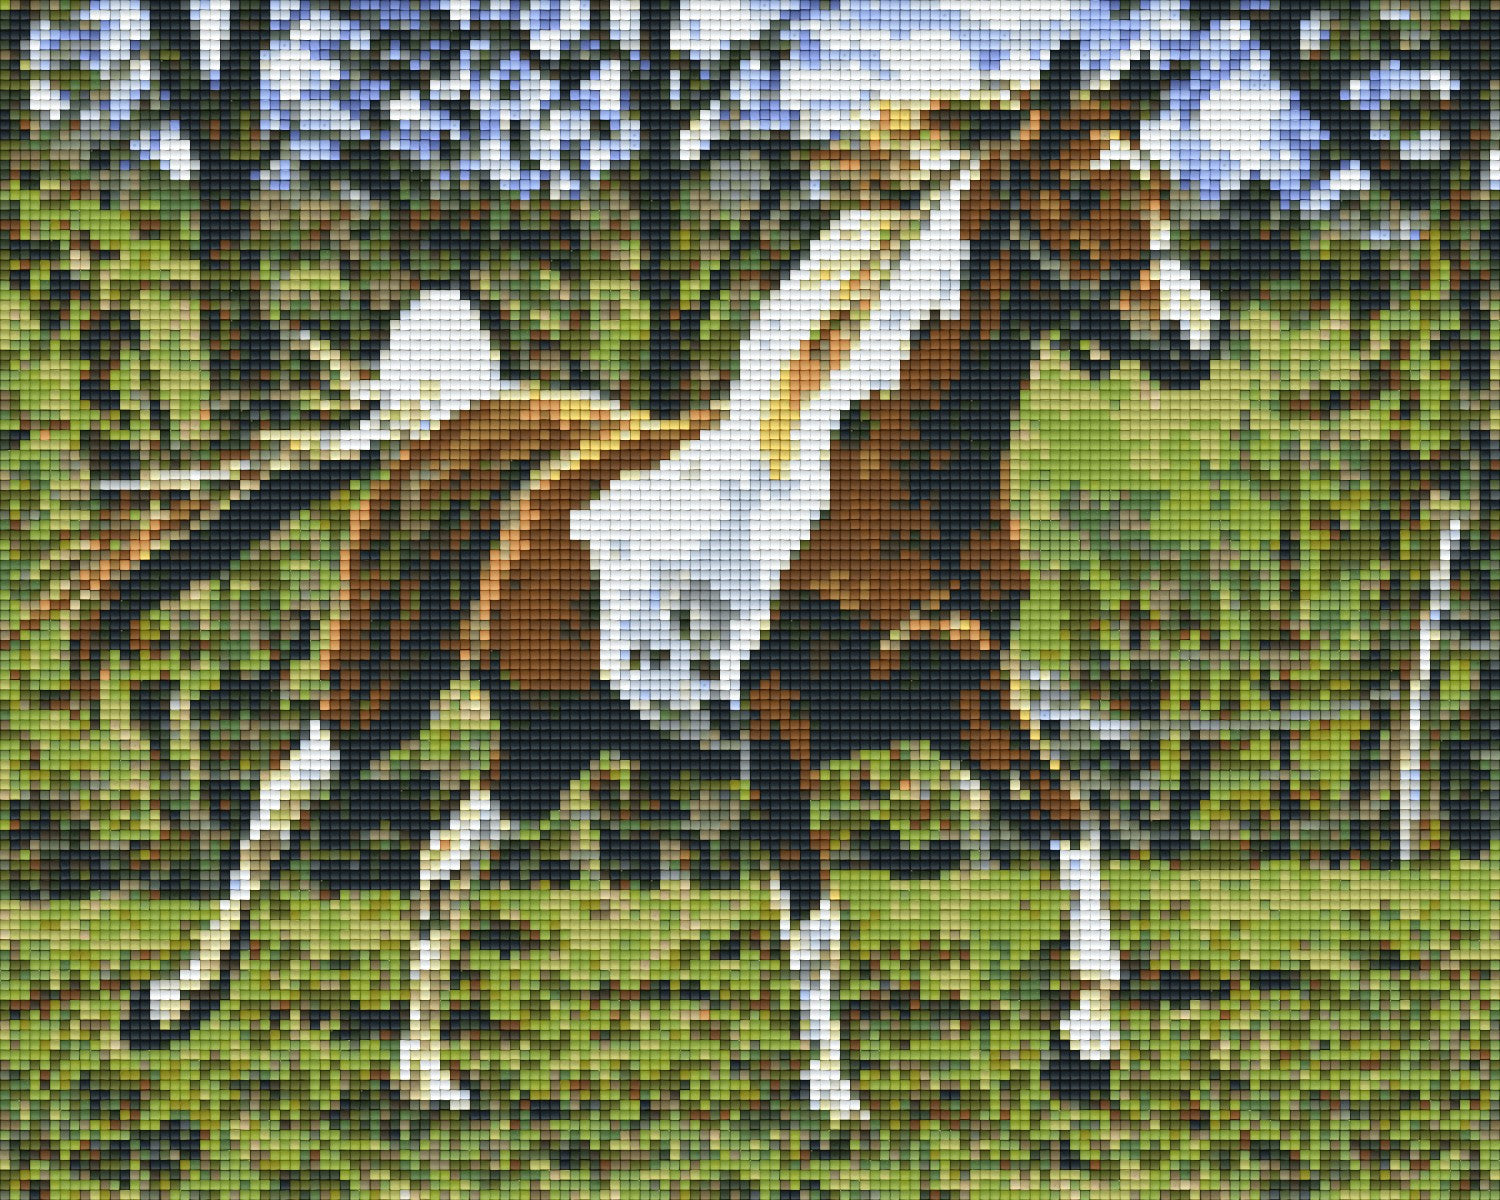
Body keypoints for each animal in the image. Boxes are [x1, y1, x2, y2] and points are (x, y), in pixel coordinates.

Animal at [108, 64, 1220, 1120]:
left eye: (1160, 187)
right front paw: (834, 1098)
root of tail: (444, 420)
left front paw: (1084, 1048)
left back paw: (425, 1078)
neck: (890, 480)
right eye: (1080, 190)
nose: (1193, 338)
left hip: (549, 734)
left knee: (444, 858)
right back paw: (168, 1007)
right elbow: (814, 915)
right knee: (282, 804)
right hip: (384, 676)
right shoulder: (778, 722)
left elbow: (1072, 825)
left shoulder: (964, 692)